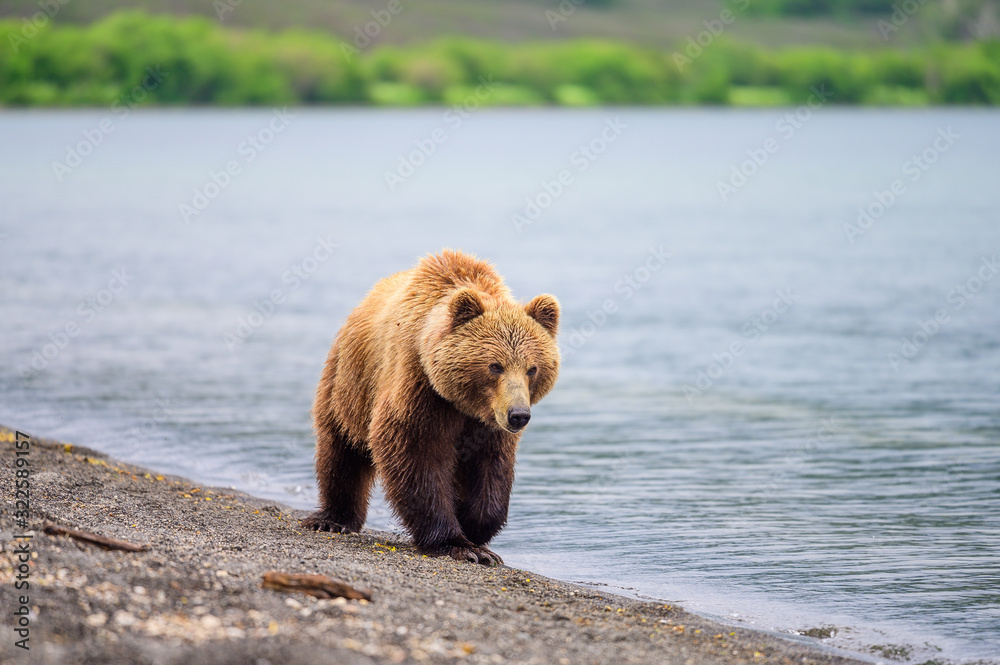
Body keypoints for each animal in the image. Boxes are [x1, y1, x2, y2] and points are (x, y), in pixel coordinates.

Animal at [301, 249, 560, 566]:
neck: (464, 403)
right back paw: (332, 519)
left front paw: (475, 529)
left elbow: (491, 466)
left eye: (532, 368)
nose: (519, 415)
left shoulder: (488, 423)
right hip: (348, 383)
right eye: (495, 365)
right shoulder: (420, 388)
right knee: (340, 448)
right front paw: (457, 544)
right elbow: (414, 451)